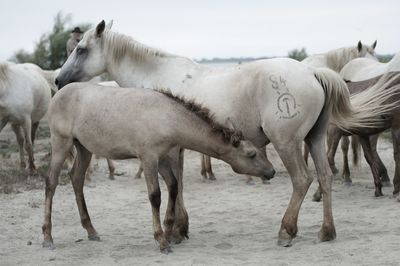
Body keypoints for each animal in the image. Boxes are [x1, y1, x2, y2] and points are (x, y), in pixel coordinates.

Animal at [54, 20, 392, 247]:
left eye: (81, 49)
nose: (58, 79)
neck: (157, 79)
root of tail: (311, 72)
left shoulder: (169, 150)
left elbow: (175, 185)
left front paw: (175, 230)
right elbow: (176, 183)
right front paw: (180, 228)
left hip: (288, 143)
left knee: (302, 180)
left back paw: (286, 231)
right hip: (315, 139)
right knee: (325, 177)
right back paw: (326, 232)